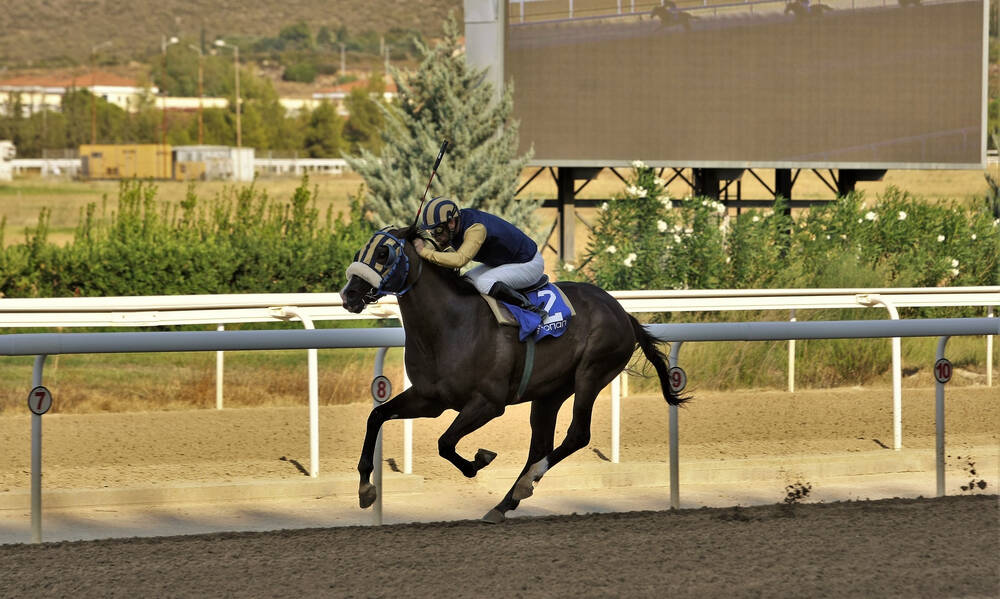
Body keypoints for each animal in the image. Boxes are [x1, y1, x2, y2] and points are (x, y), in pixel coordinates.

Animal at [338, 227, 688, 524]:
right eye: (360, 250)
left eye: (383, 252)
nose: (349, 294)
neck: (449, 325)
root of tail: (623, 313)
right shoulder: (429, 398)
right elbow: (377, 416)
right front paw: (366, 489)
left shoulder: (488, 403)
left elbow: (445, 442)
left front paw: (479, 460)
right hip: (550, 393)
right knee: (541, 445)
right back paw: (506, 501)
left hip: (592, 373)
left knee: (577, 434)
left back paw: (525, 484)